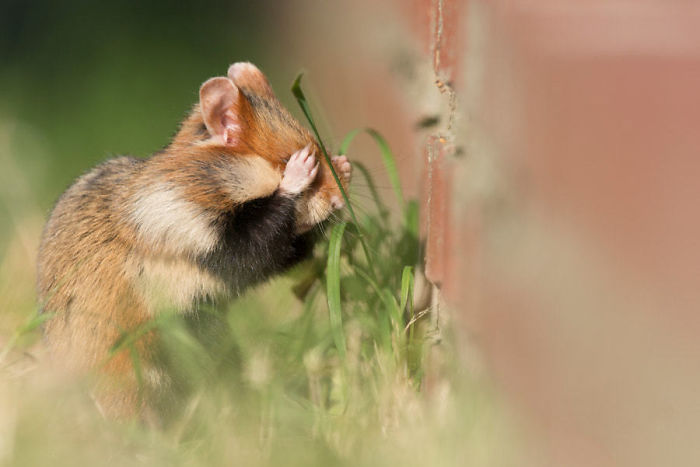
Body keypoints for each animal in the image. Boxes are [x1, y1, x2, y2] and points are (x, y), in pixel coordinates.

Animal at [35, 61, 352, 420]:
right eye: (285, 158)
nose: (340, 199)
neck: (211, 179)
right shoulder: (204, 234)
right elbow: (261, 241)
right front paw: (298, 175)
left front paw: (345, 166)